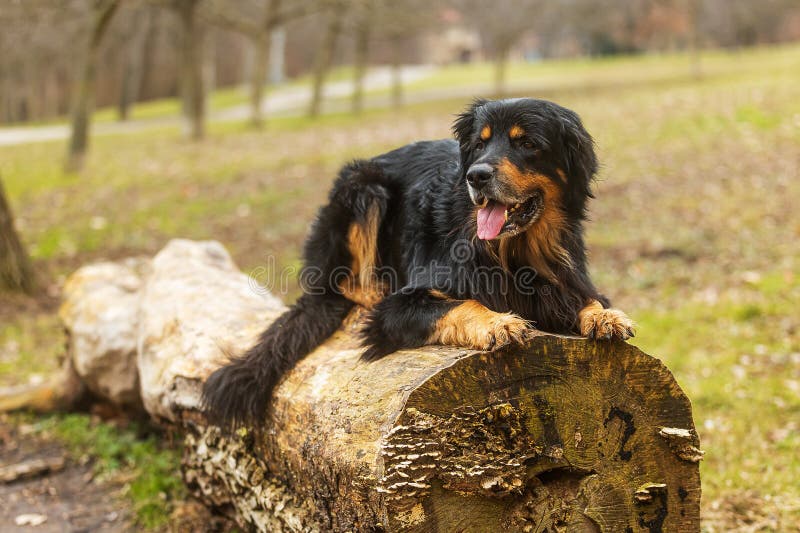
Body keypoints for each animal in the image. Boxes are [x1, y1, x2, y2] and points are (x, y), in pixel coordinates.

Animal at [203, 96, 636, 428]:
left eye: (527, 143)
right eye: (480, 145)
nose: (476, 176)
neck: (511, 251)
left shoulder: (566, 278)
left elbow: (586, 299)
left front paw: (605, 316)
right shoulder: (401, 306)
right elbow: (463, 303)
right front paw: (498, 323)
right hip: (363, 187)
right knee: (350, 283)